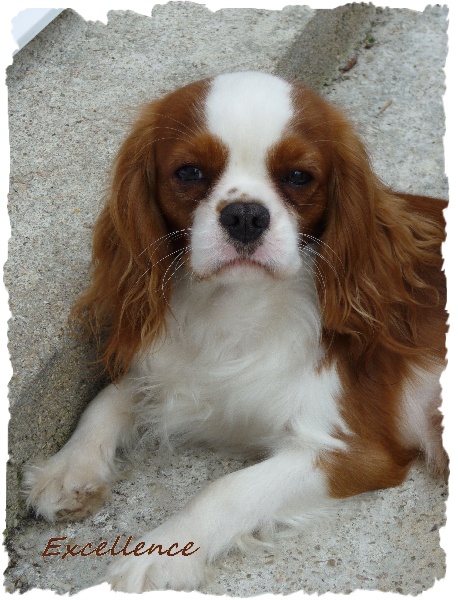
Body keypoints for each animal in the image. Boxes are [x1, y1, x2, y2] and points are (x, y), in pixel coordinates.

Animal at [24, 71, 447, 592]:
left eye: (299, 177)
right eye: (188, 173)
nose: (245, 214)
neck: (234, 306)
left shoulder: (353, 451)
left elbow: (226, 489)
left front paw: (160, 550)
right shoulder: (174, 372)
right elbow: (111, 396)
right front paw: (68, 468)